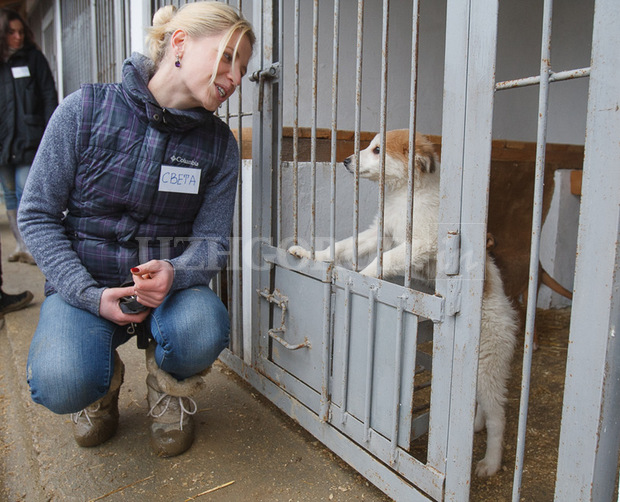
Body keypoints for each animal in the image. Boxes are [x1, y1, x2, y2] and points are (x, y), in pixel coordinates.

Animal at [290, 130, 520, 478]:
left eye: (377, 150)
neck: (403, 197)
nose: (345, 161)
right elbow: (342, 246)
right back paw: (475, 426)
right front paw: (312, 255)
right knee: (477, 406)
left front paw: (362, 278)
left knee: (498, 416)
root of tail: (508, 313)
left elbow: (381, 262)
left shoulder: (421, 243)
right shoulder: (380, 233)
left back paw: (489, 462)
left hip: (486, 365)